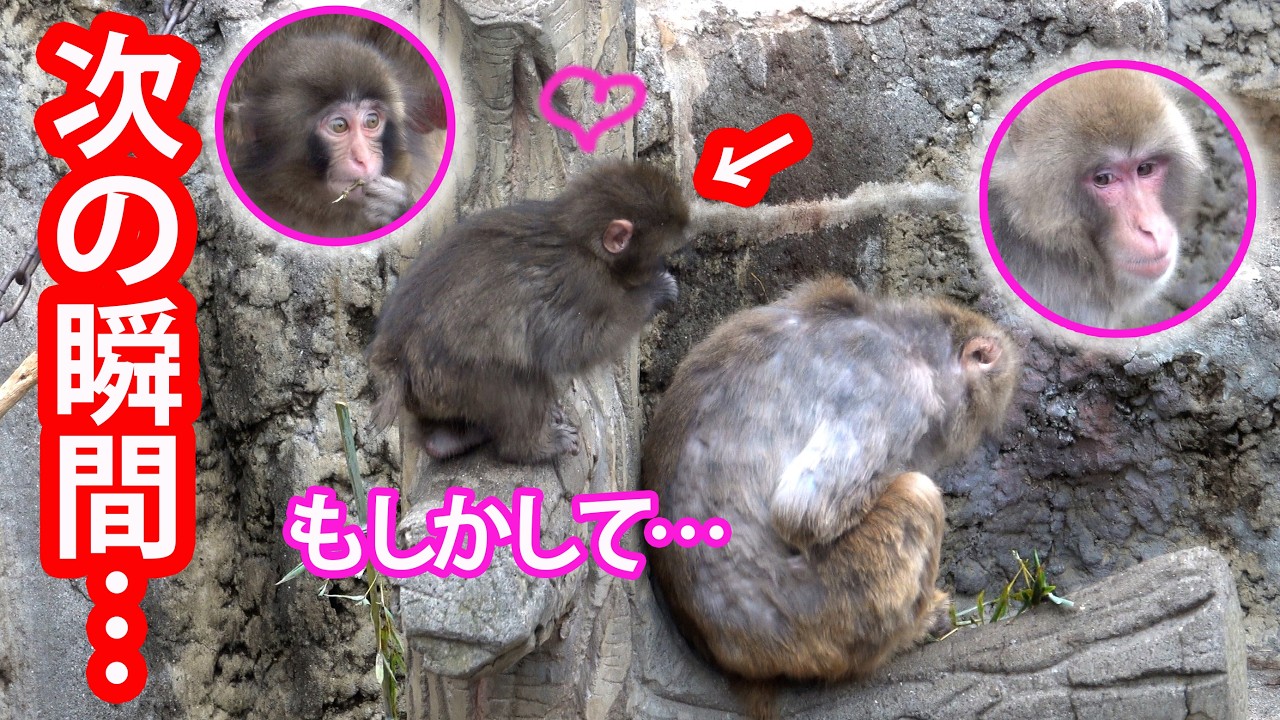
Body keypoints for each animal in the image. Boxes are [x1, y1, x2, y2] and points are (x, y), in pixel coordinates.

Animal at [367, 160, 689, 464]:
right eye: (658, 254)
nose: (666, 265)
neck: (579, 238)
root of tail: (393, 357)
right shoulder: (584, 282)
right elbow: (574, 346)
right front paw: (653, 294)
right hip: (453, 375)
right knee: (515, 376)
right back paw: (531, 447)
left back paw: (446, 440)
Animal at [642, 277, 1020, 700]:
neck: (908, 339)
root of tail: (738, 659)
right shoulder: (895, 389)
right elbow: (803, 512)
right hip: (823, 619)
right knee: (917, 495)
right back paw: (912, 628)